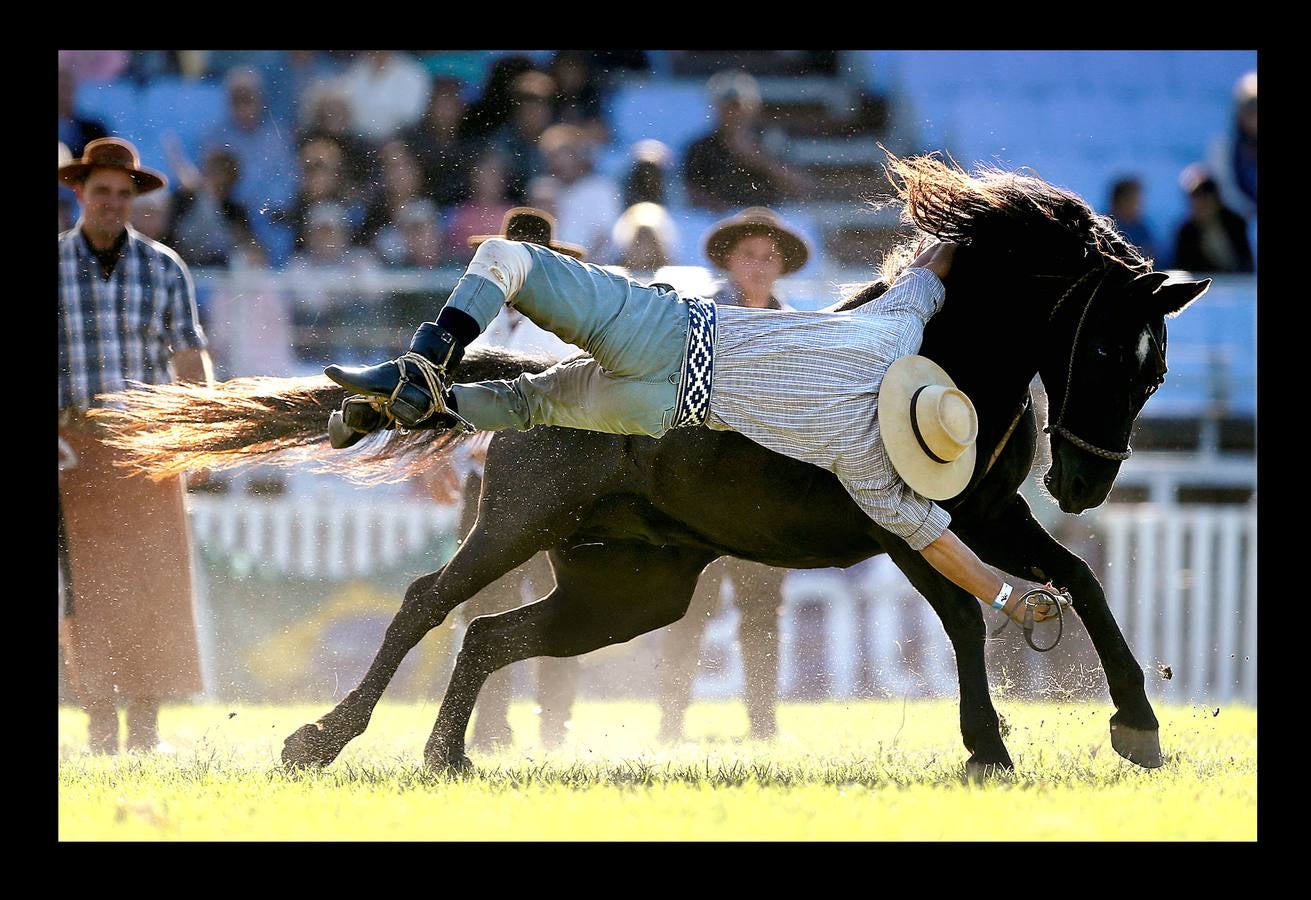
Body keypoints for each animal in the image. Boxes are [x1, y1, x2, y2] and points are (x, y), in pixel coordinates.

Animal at [99, 154, 1206, 776]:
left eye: (1155, 367)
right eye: (1111, 353)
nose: (1085, 484)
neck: (940, 356)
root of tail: (539, 376)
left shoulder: (985, 515)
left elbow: (1076, 580)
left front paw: (1133, 724)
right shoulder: (898, 521)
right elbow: (968, 617)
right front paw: (992, 746)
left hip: (630, 590)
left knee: (492, 635)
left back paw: (449, 752)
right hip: (519, 527)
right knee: (427, 603)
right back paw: (323, 737)